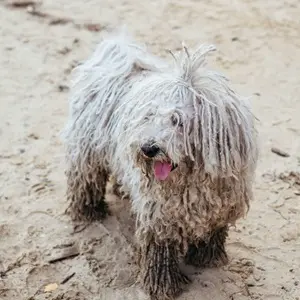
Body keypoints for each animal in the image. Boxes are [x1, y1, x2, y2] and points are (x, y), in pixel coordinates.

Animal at [61, 31, 258, 298]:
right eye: (148, 116)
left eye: (178, 121)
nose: (148, 148)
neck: (191, 181)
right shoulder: (159, 213)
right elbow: (160, 250)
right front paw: (164, 286)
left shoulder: (220, 204)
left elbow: (213, 231)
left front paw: (208, 257)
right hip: (87, 148)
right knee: (85, 178)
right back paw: (88, 211)